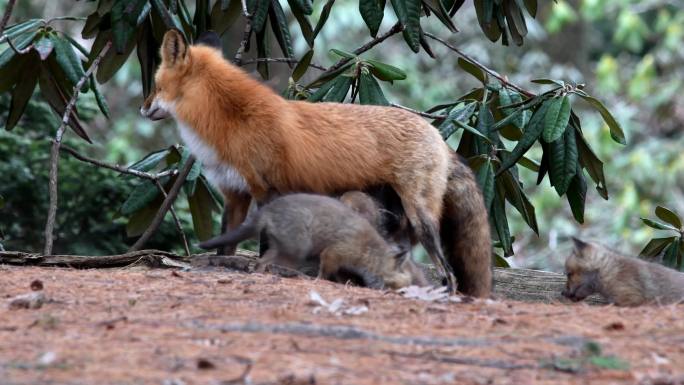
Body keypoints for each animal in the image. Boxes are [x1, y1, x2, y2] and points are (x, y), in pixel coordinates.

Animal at [199, 192, 416, 288]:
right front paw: (322, 281)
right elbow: (325, 272)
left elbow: (340, 275)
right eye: (394, 285)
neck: (369, 251)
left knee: (261, 262)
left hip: (281, 246)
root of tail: (267, 209)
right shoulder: (333, 252)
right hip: (299, 248)